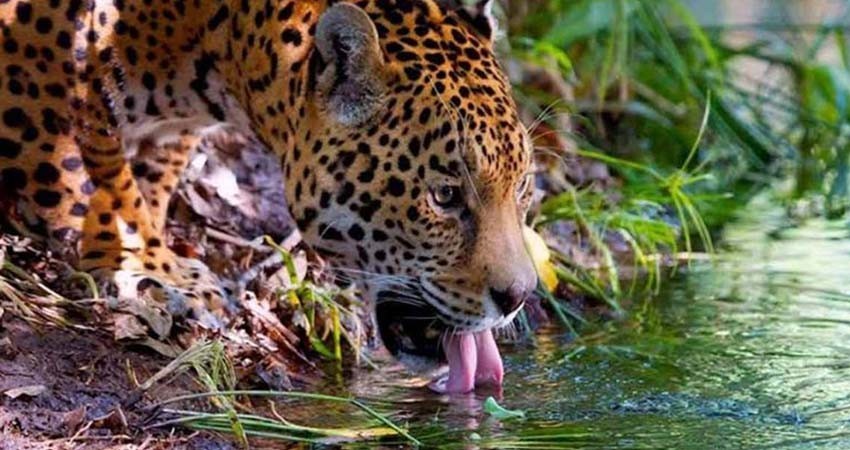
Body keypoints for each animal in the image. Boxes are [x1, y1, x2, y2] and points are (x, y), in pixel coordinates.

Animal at [0, 0, 538, 393]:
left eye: (522, 188)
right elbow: (95, 173)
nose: (519, 297)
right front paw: (150, 266)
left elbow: (151, 173)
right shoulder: (48, 65)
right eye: (445, 196)